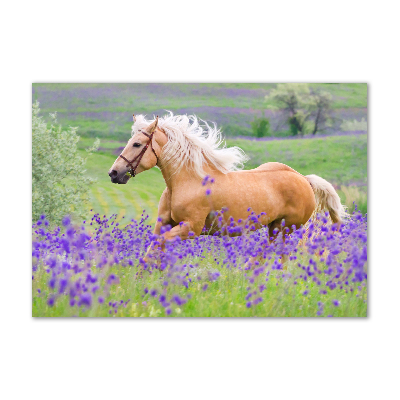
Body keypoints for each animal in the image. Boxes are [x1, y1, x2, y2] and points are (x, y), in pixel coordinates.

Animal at [108, 112, 346, 268]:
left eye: (137, 144)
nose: (114, 173)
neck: (187, 181)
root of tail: (304, 179)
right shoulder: (164, 224)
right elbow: (152, 249)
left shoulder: (190, 228)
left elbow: (159, 246)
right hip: (275, 228)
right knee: (274, 254)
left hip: (284, 228)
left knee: (273, 253)